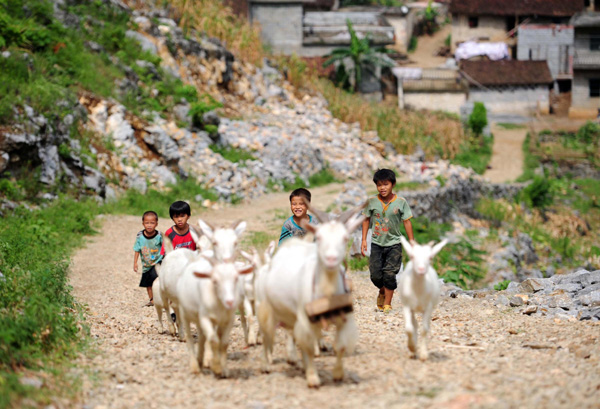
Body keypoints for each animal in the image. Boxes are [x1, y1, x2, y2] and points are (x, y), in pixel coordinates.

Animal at [255, 203, 364, 386]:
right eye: (319, 237)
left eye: (345, 238)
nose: (331, 259)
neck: (327, 292)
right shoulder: (305, 317)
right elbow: (308, 347)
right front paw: (313, 378)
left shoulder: (345, 318)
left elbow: (340, 346)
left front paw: (338, 374)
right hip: (267, 308)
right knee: (267, 336)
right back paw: (265, 365)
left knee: (291, 334)